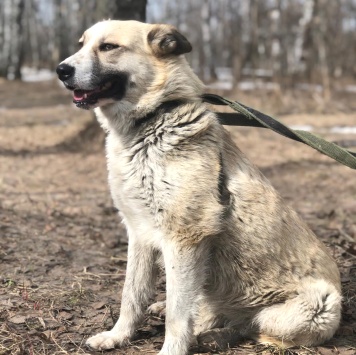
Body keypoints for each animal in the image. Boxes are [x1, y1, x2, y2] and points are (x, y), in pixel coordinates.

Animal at [57, 20, 344, 354]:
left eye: (108, 47)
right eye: (82, 44)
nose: (60, 70)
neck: (152, 122)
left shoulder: (185, 239)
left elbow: (179, 313)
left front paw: (171, 349)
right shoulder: (139, 233)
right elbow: (132, 294)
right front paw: (118, 335)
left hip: (316, 307)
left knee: (247, 324)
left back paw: (216, 335)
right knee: (208, 309)